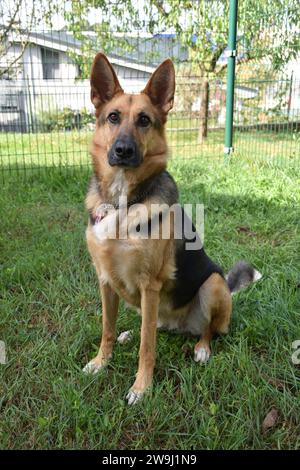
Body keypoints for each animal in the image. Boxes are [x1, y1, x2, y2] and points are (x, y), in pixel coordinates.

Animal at [83, 52, 262, 404]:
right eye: (113, 117)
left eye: (144, 120)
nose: (123, 151)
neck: (124, 202)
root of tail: (180, 325)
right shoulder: (105, 281)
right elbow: (107, 329)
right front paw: (101, 361)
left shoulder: (149, 284)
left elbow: (147, 347)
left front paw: (141, 387)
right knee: (151, 326)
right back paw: (130, 333)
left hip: (212, 285)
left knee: (207, 330)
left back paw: (202, 348)